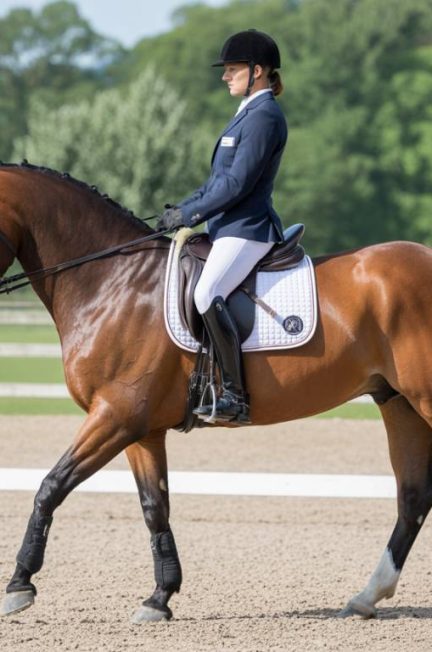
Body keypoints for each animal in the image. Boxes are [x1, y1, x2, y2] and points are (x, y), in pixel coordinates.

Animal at [0, 161, 432, 623]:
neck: (112, 284)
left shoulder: (115, 415)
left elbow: (51, 486)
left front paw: (19, 585)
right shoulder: (140, 429)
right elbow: (154, 507)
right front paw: (159, 597)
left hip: (421, 398)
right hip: (397, 401)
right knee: (412, 497)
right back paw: (367, 596)